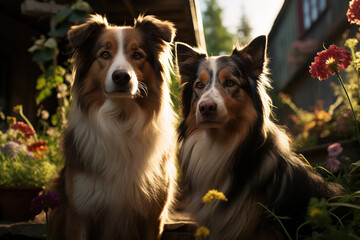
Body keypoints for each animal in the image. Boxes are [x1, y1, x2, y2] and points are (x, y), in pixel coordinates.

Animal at [50, 15, 177, 240]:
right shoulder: (79, 213)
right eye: (104, 54)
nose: (121, 77)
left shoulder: (153, 215)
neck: (121, 118)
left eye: (137, 54)